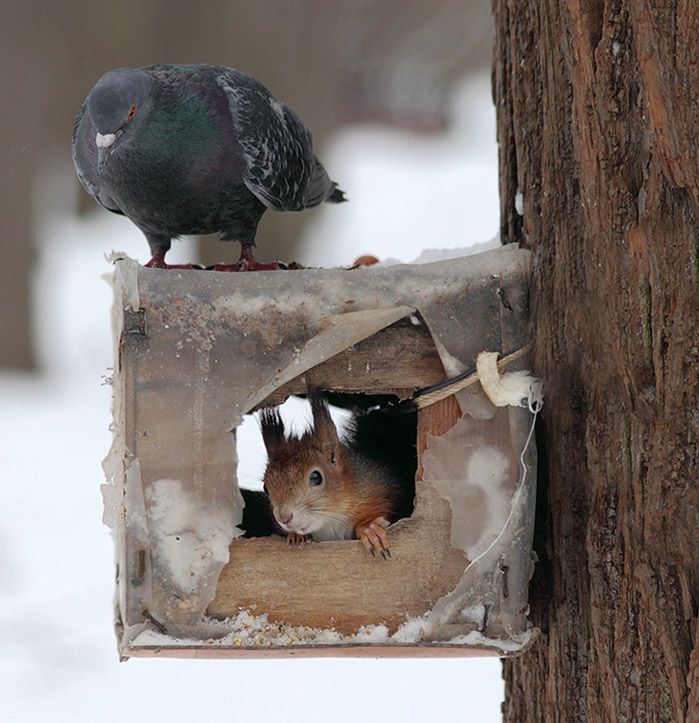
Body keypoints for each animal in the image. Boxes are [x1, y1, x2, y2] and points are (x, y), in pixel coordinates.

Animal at [262, 394, 418, 556]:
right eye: (265, 488)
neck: (330, 520)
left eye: (316, 477)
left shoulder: (378, 489)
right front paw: (295, 536)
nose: (284, 517)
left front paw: (369, 530)